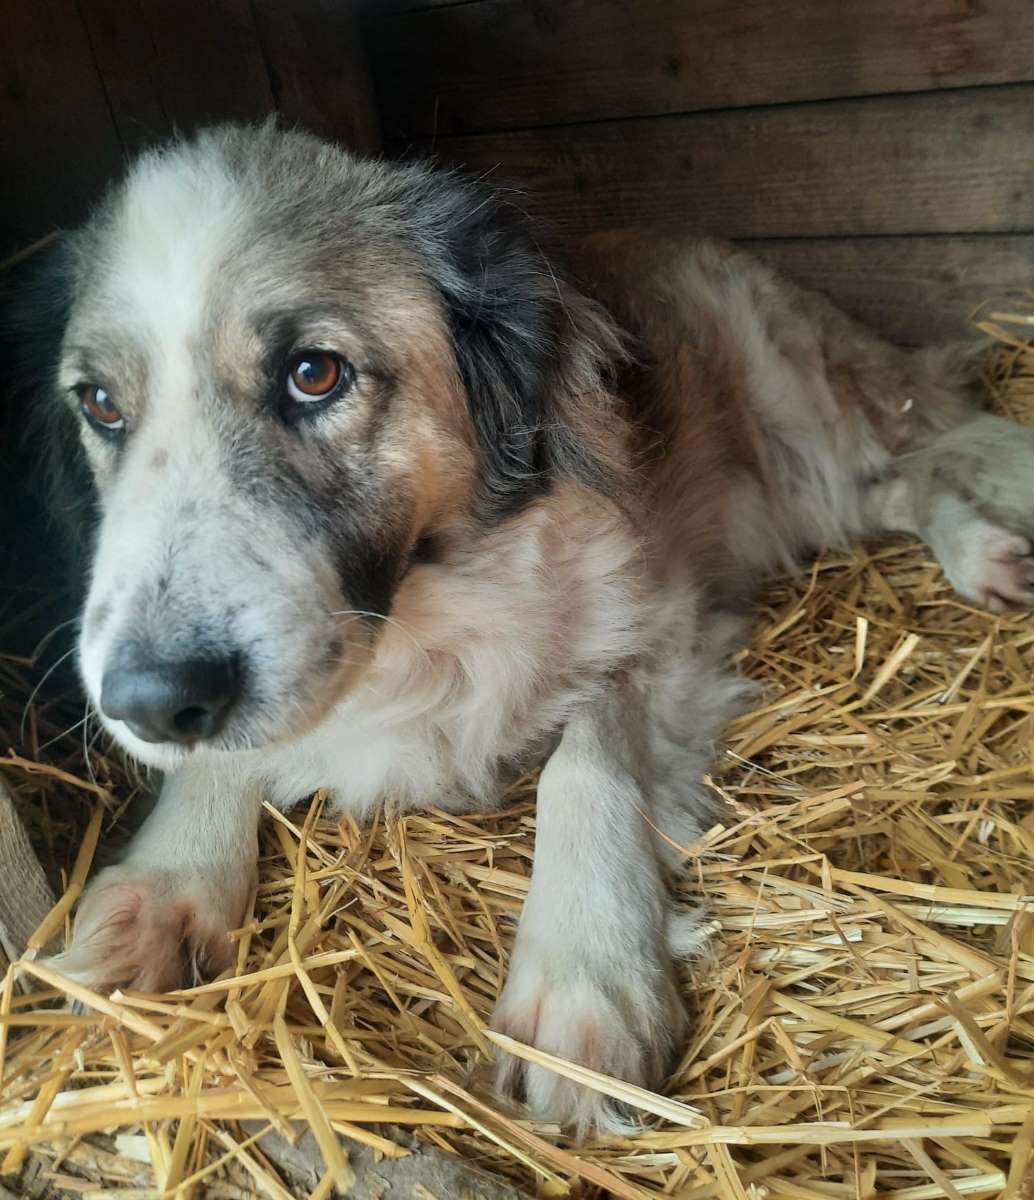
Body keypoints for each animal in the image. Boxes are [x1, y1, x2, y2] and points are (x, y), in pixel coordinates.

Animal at [17, 122, 1034, 1135]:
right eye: (100, 405)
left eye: (314, 374)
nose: (151, 702)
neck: (420, 614)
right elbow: (223, 762)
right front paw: (167, 881)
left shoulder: (658, 622)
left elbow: (583, 763)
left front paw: (585, 973)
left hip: (798, 419)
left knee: (918, 458)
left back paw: (982, 546)